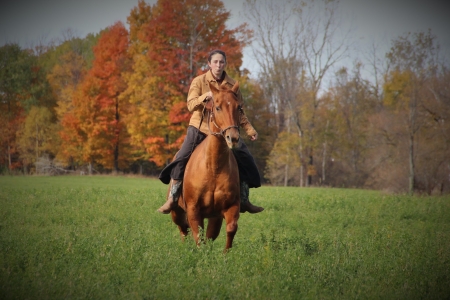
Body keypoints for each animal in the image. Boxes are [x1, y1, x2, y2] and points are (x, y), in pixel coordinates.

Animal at [171, 81, 243, 250]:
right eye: (217, 107)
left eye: (239, 107)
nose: (233, 138)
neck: (213, 168)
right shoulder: (193, 210)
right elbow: (199, 237)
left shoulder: (229, 207)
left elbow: (230, 228)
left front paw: (224, 254)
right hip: (176, 212)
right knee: (183, 229)